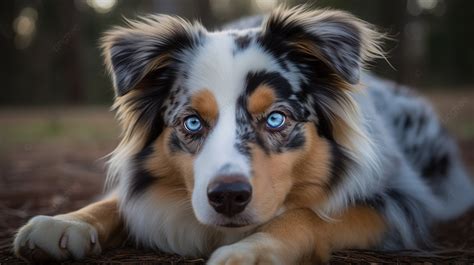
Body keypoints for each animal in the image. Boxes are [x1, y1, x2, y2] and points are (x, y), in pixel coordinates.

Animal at [12, 5, 474, 262]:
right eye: (192, 123)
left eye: (276, 119)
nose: (228, 196)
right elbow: (115, 201)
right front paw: (63, 222)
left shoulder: (399, 202)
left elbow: (306, 214)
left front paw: (249, 251)